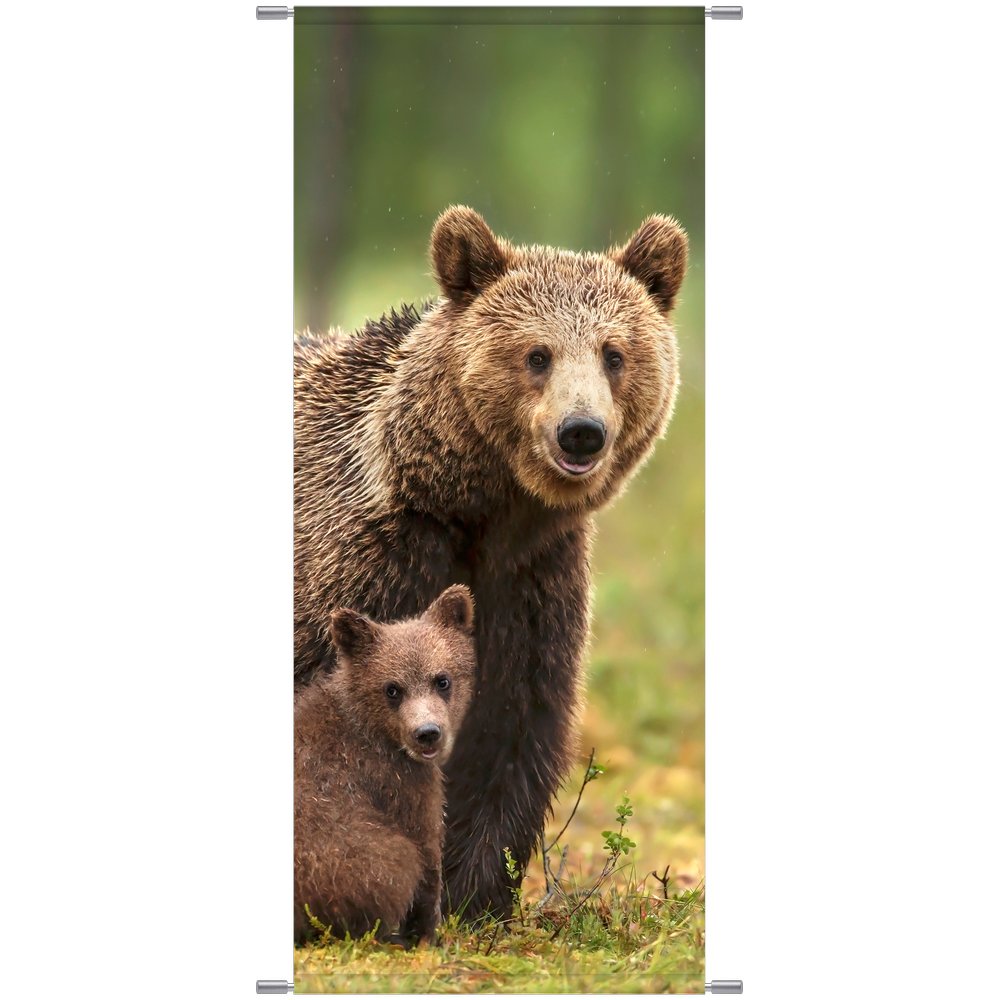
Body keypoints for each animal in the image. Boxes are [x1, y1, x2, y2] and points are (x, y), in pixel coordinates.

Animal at [294, 585, 476, 944]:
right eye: (392, 688)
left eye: (442, 679)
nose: (427, 734)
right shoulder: (399, 784)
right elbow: (427, 855)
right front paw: (431, 934)